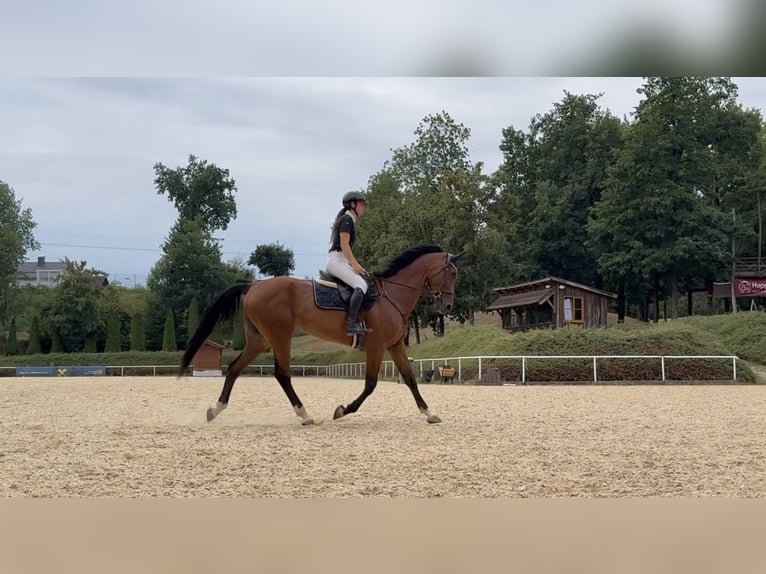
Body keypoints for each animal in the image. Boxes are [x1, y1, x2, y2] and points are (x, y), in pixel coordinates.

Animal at [179, 244, 462, 425]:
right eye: (451, 273)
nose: (448, 306)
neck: (392, 295)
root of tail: (254, 285)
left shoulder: (394, 346)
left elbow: (411, 379)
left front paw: (429, 413)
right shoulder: (377, 346)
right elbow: (370, 385)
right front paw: (342, 410)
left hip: (260, 340)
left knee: (236, 368)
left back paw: (215, 410)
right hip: (280, 337)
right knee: (281, 374)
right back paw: (304, 415)